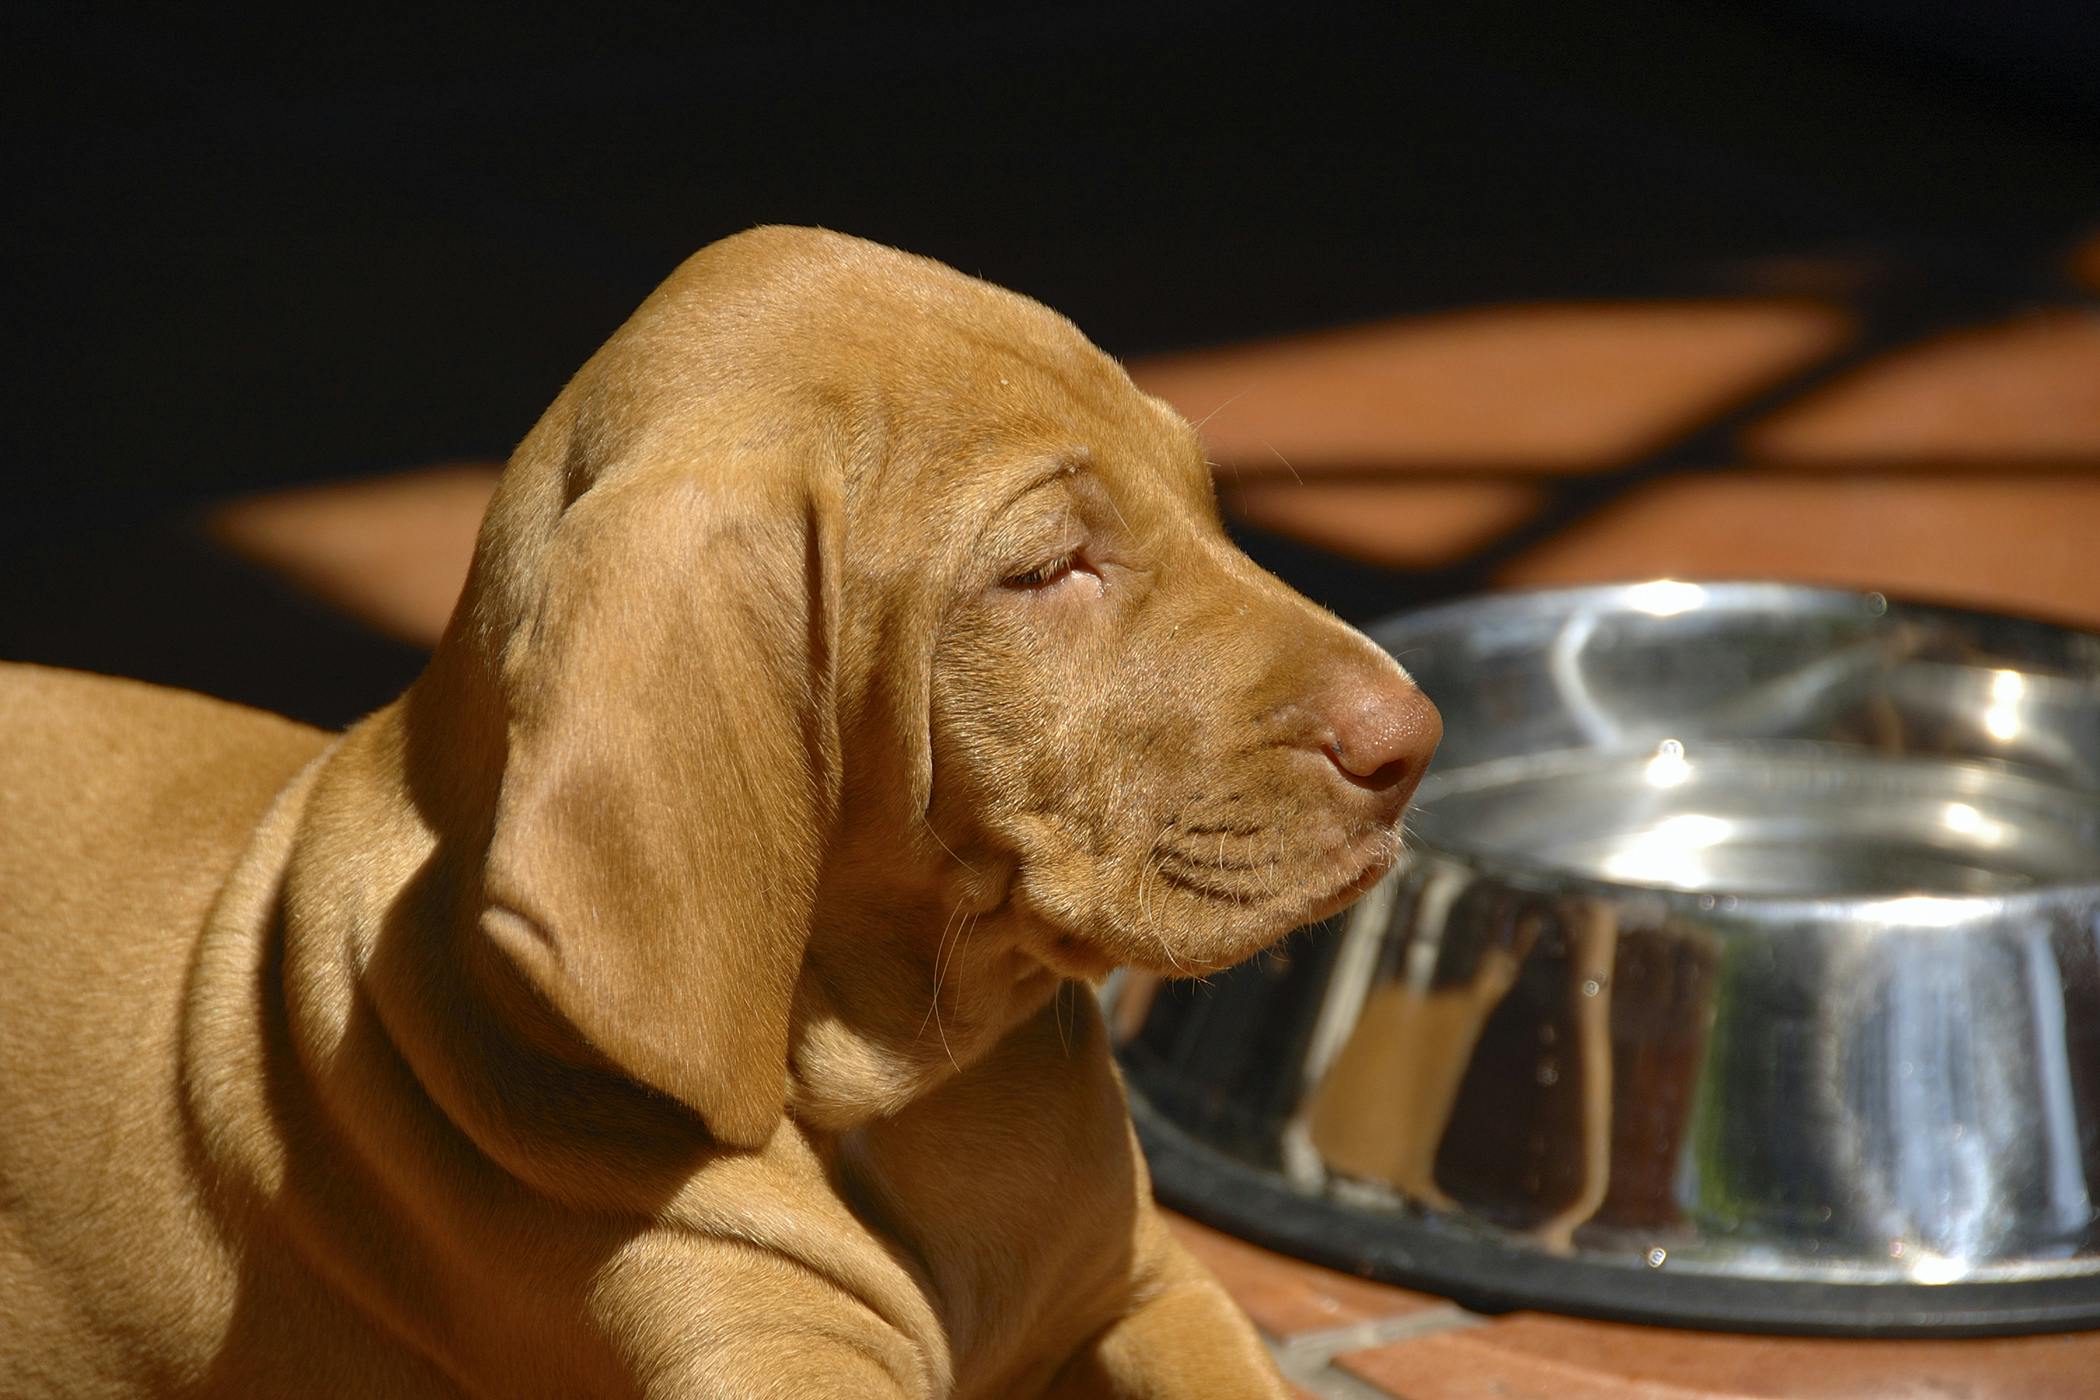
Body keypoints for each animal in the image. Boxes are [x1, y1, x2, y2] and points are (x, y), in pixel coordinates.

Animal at [0, 232, 1444, 1400]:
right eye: (1044, 570)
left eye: (1206, 501)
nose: (1416, 741)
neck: (895, 1089)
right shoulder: (769, 1361)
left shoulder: (1157, 1289)